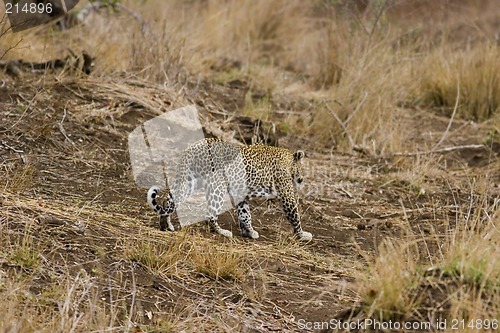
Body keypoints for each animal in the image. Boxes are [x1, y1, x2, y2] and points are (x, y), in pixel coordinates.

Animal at [146, 138, 312, 241]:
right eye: (303, 168)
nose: (302, 179)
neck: (288, 161)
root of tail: (193, 147)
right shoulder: (286, 195)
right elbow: (294, 215)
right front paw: (302, 234)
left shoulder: (241, 194)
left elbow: (245, 214)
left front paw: (249, 231)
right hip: (216, 186)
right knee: (210, 214)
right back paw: (221, 231)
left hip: (189, 181)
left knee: (170, 199)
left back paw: (165, 224)